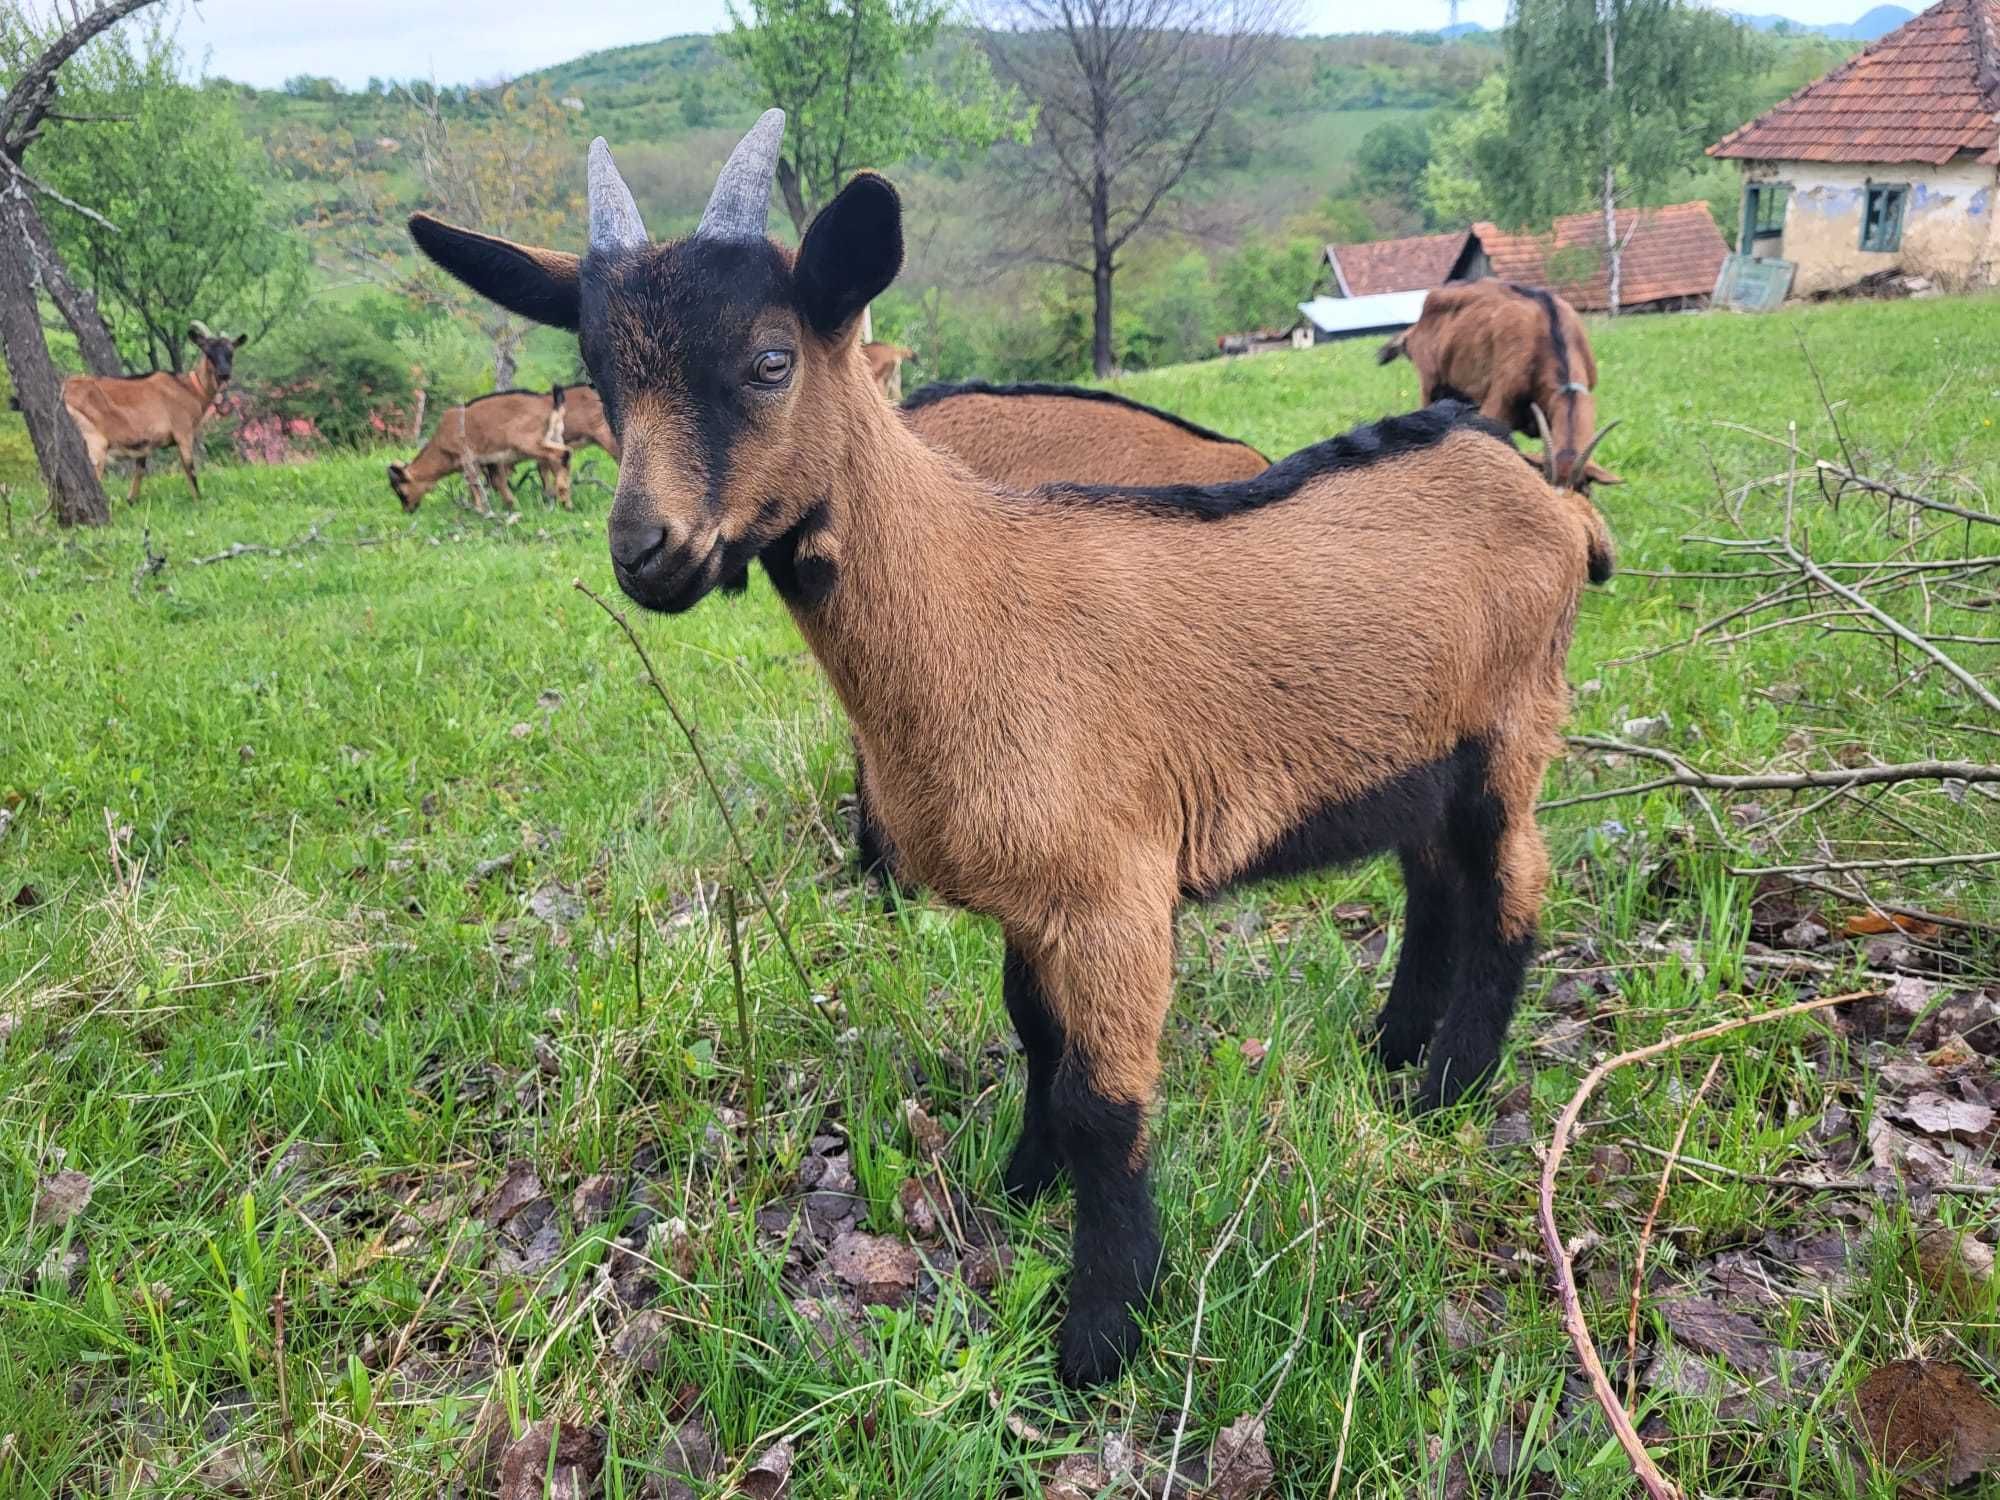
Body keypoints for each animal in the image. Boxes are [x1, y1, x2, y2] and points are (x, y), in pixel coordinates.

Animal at [63, 320, 246, 502]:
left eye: (231, 352)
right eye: (208, 353)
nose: (224, 374)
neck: (189, 388)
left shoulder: (142, 443)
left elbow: (139, 473)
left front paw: (131, 500)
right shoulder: (183, 432)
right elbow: (190, 469)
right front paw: (198, 500)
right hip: (95, 442)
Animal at [386, 388, 572, 516]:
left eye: (401, 491)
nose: (408, 510)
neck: (442, 440)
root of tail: (552, 404)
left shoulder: (468, 460)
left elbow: (475, 486)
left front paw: (481, 511)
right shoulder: (492, 461)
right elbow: (499, 483)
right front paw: (512, 507)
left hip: (528, 443)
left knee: (563, 454)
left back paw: (564, 502)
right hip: (555, 437)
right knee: (561, 461)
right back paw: (561, 501)